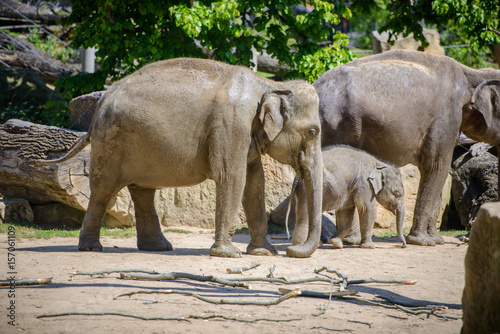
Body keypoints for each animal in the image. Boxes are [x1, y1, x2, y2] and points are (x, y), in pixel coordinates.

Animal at [36, 58, 324, 258]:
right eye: (313, 131)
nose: (291, 250)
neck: (272, 86)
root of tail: (102, 101)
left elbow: (254, 182)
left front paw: (264, 252)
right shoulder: (231, 126)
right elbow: (233, 178)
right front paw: (228, 255)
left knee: (143, 191)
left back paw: (158, 248)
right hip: (110, 141)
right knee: (103, 190)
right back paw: (91, 248)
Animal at [314, 51, 500, 247]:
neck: (472, 73)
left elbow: (437, 174)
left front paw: (436, 240)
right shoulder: (447, 118)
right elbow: (436, 167)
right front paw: (423, 242)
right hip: (337, 125)